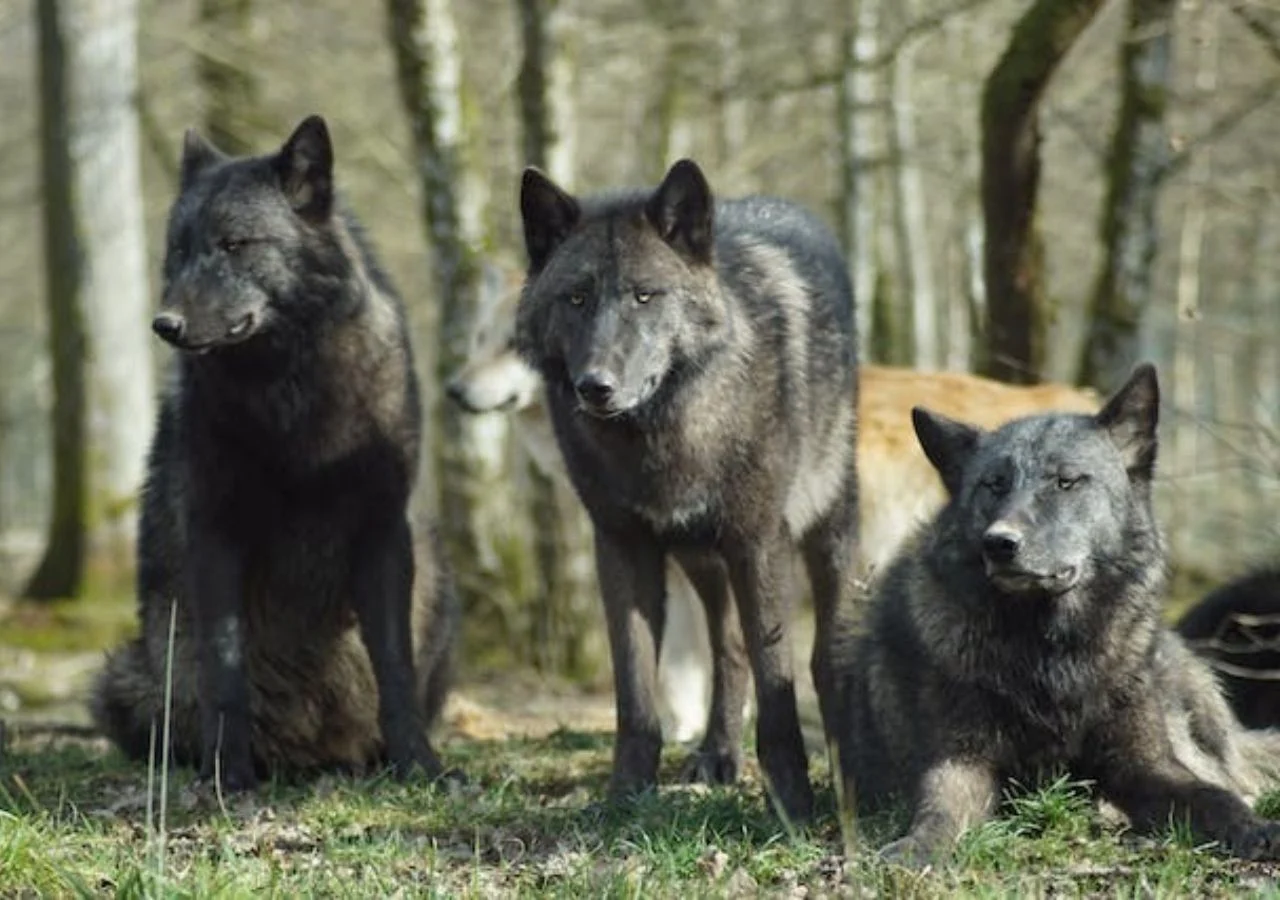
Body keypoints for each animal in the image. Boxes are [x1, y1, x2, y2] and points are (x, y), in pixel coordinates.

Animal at [90, 116, 459, 790]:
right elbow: (225, 669)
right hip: (125, 676)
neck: (291, 392)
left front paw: (420, 765)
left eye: (235, 244)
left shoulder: (383, 531)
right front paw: (228, 774)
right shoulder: (216, 534)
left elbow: (394, 667)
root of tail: (309, 756)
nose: (165, 324)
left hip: (441, 581)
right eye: (178, 251)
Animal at [515, 159, 859, 821]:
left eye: (645, 295)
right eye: (576, 297)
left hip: (825, 532)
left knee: (822, 653)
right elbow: (635, 692)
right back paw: (718, 754)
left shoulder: (758, 543)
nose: (595, 385)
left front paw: (792, 803)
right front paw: (625, 797)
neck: (662, 436)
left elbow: (778, 682)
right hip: (701, 559)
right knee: (728, 649)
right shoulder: (621, 547)